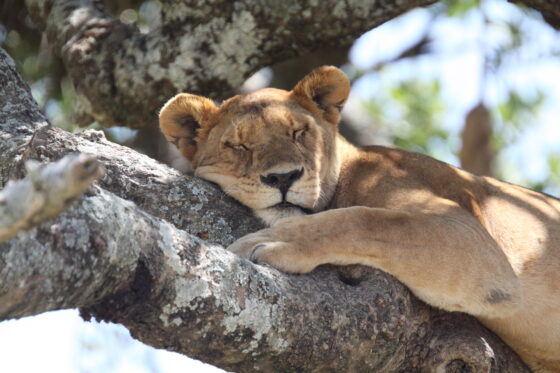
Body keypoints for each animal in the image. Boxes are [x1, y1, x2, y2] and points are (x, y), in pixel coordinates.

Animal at [158, 66, 560, 370]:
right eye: (238, 145)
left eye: (298, 132)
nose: (284, 177)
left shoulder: (472, 241)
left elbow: (366, 221)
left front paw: (277, 241)